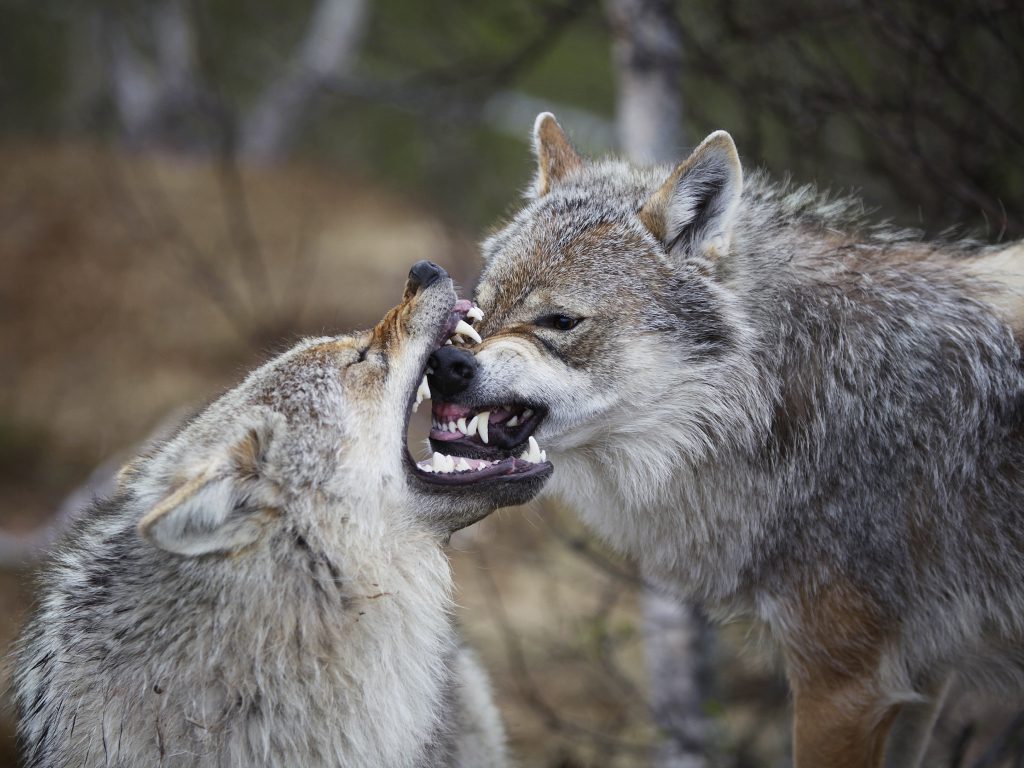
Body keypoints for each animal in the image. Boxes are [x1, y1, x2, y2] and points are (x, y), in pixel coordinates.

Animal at [426, 112, 1024, 767]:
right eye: (481, 308)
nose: (445, 362)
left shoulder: (845, 682)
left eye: (560, 321)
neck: (786, 397)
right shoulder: (920, 676)